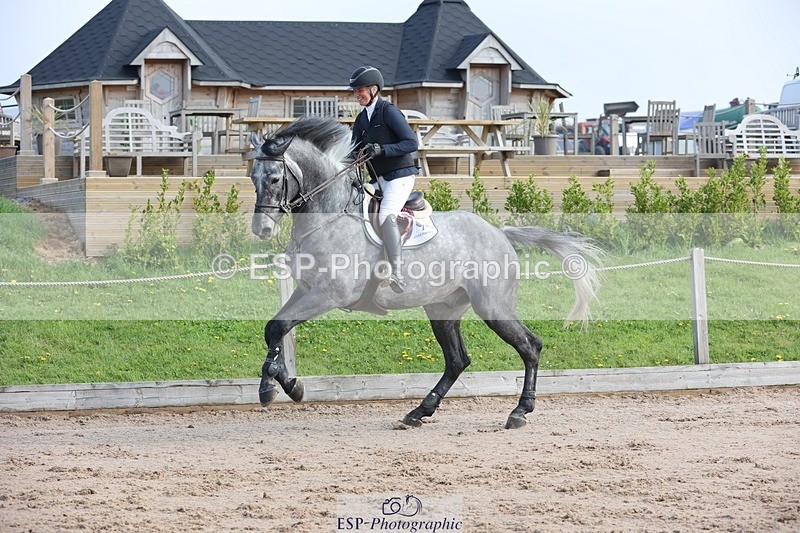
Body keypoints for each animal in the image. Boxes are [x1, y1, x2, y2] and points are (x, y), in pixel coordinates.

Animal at [250, 116, 600, 429]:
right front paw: (281, 384)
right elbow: (273, 328)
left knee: (530, 346)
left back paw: (519, 411)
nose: (261, 229)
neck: (329, 216)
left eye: (274, 179)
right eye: (253, 177)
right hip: (442, 308)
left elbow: (279, 325)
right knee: (457, 360)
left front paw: (276, 387)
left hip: (493, 307)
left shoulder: (329, 294)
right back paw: (419, 412)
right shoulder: (306, 289)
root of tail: (500, 233)